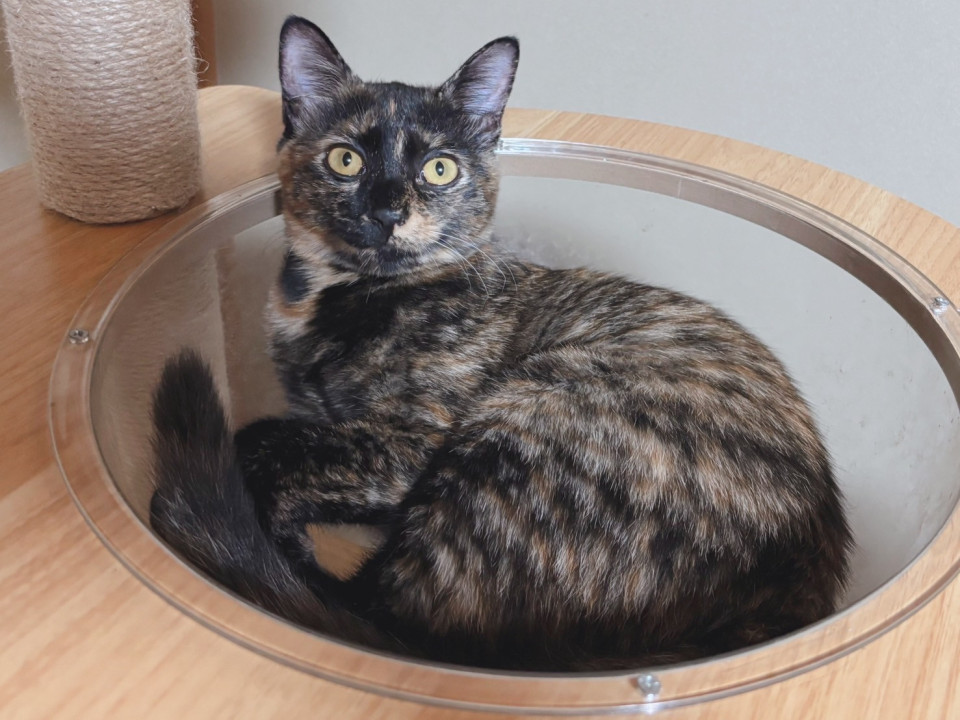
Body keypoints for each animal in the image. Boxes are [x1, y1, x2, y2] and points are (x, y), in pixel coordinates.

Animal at [150, 15, 852, 671]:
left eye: (439, 168)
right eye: (345, 159)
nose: (388, 209)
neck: (332, 297)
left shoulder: (410, 441)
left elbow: (271, 442)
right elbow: (293, 439)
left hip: (528, 411)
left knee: (386, 610)